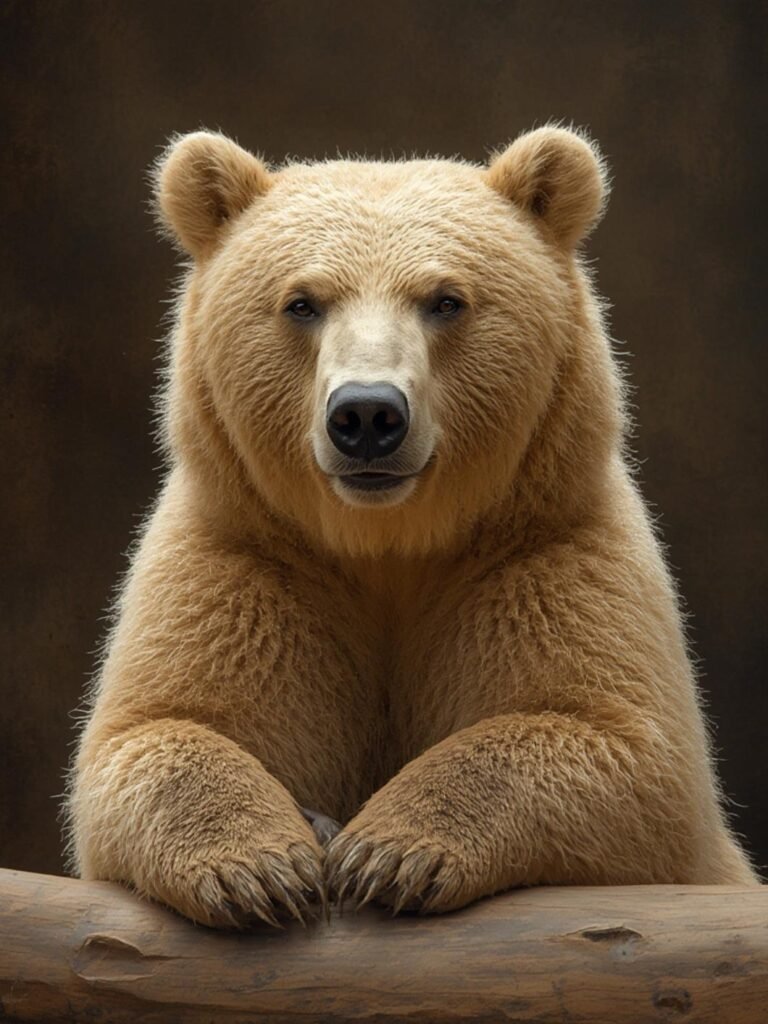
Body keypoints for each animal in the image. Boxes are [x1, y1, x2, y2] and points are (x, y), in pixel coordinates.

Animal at [66, 125, 758, 928]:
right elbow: (152, 733)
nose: (367, 414)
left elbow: (626, 752)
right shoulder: (248, 559)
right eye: (302, 302)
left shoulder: (546, 553)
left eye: (446, 299)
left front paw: (386, 853)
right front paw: (267, 866)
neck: (388, 548)